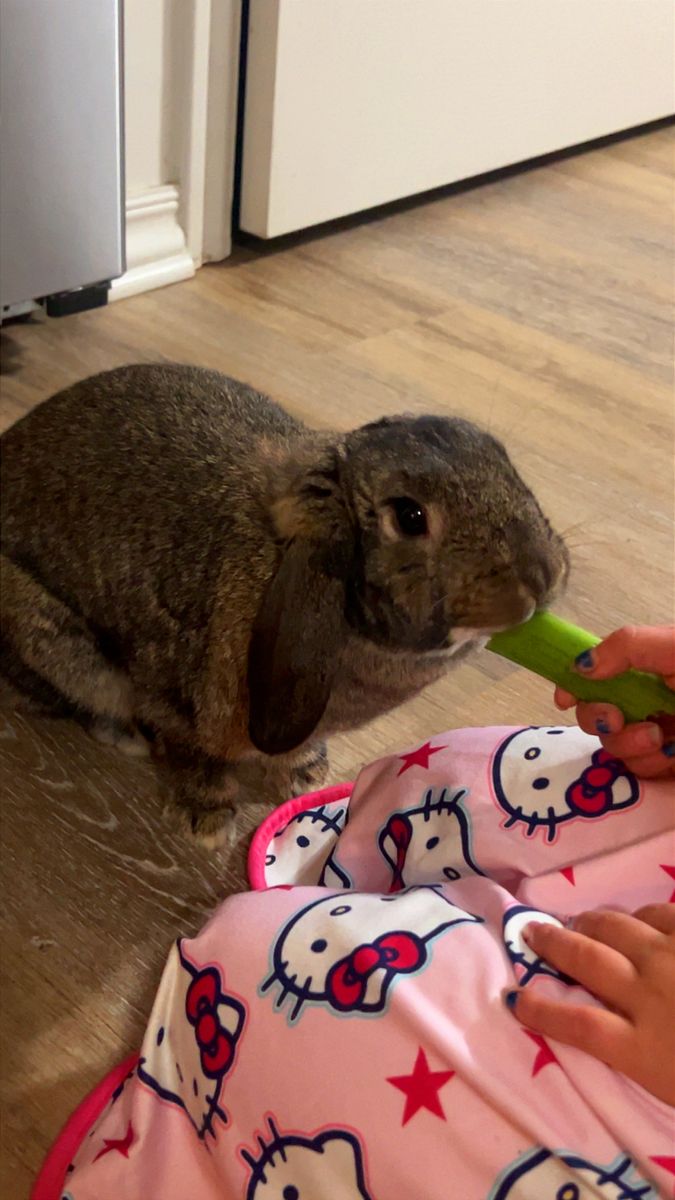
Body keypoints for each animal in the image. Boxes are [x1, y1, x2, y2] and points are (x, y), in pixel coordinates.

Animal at [0, 363, 568, 846]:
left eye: (499, 456)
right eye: (410, 517)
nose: (543, 577)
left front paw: (304, 777)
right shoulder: (172, 698)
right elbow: (193, 756)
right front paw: (206, 822)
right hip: (51, 639)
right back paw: (127, 738)